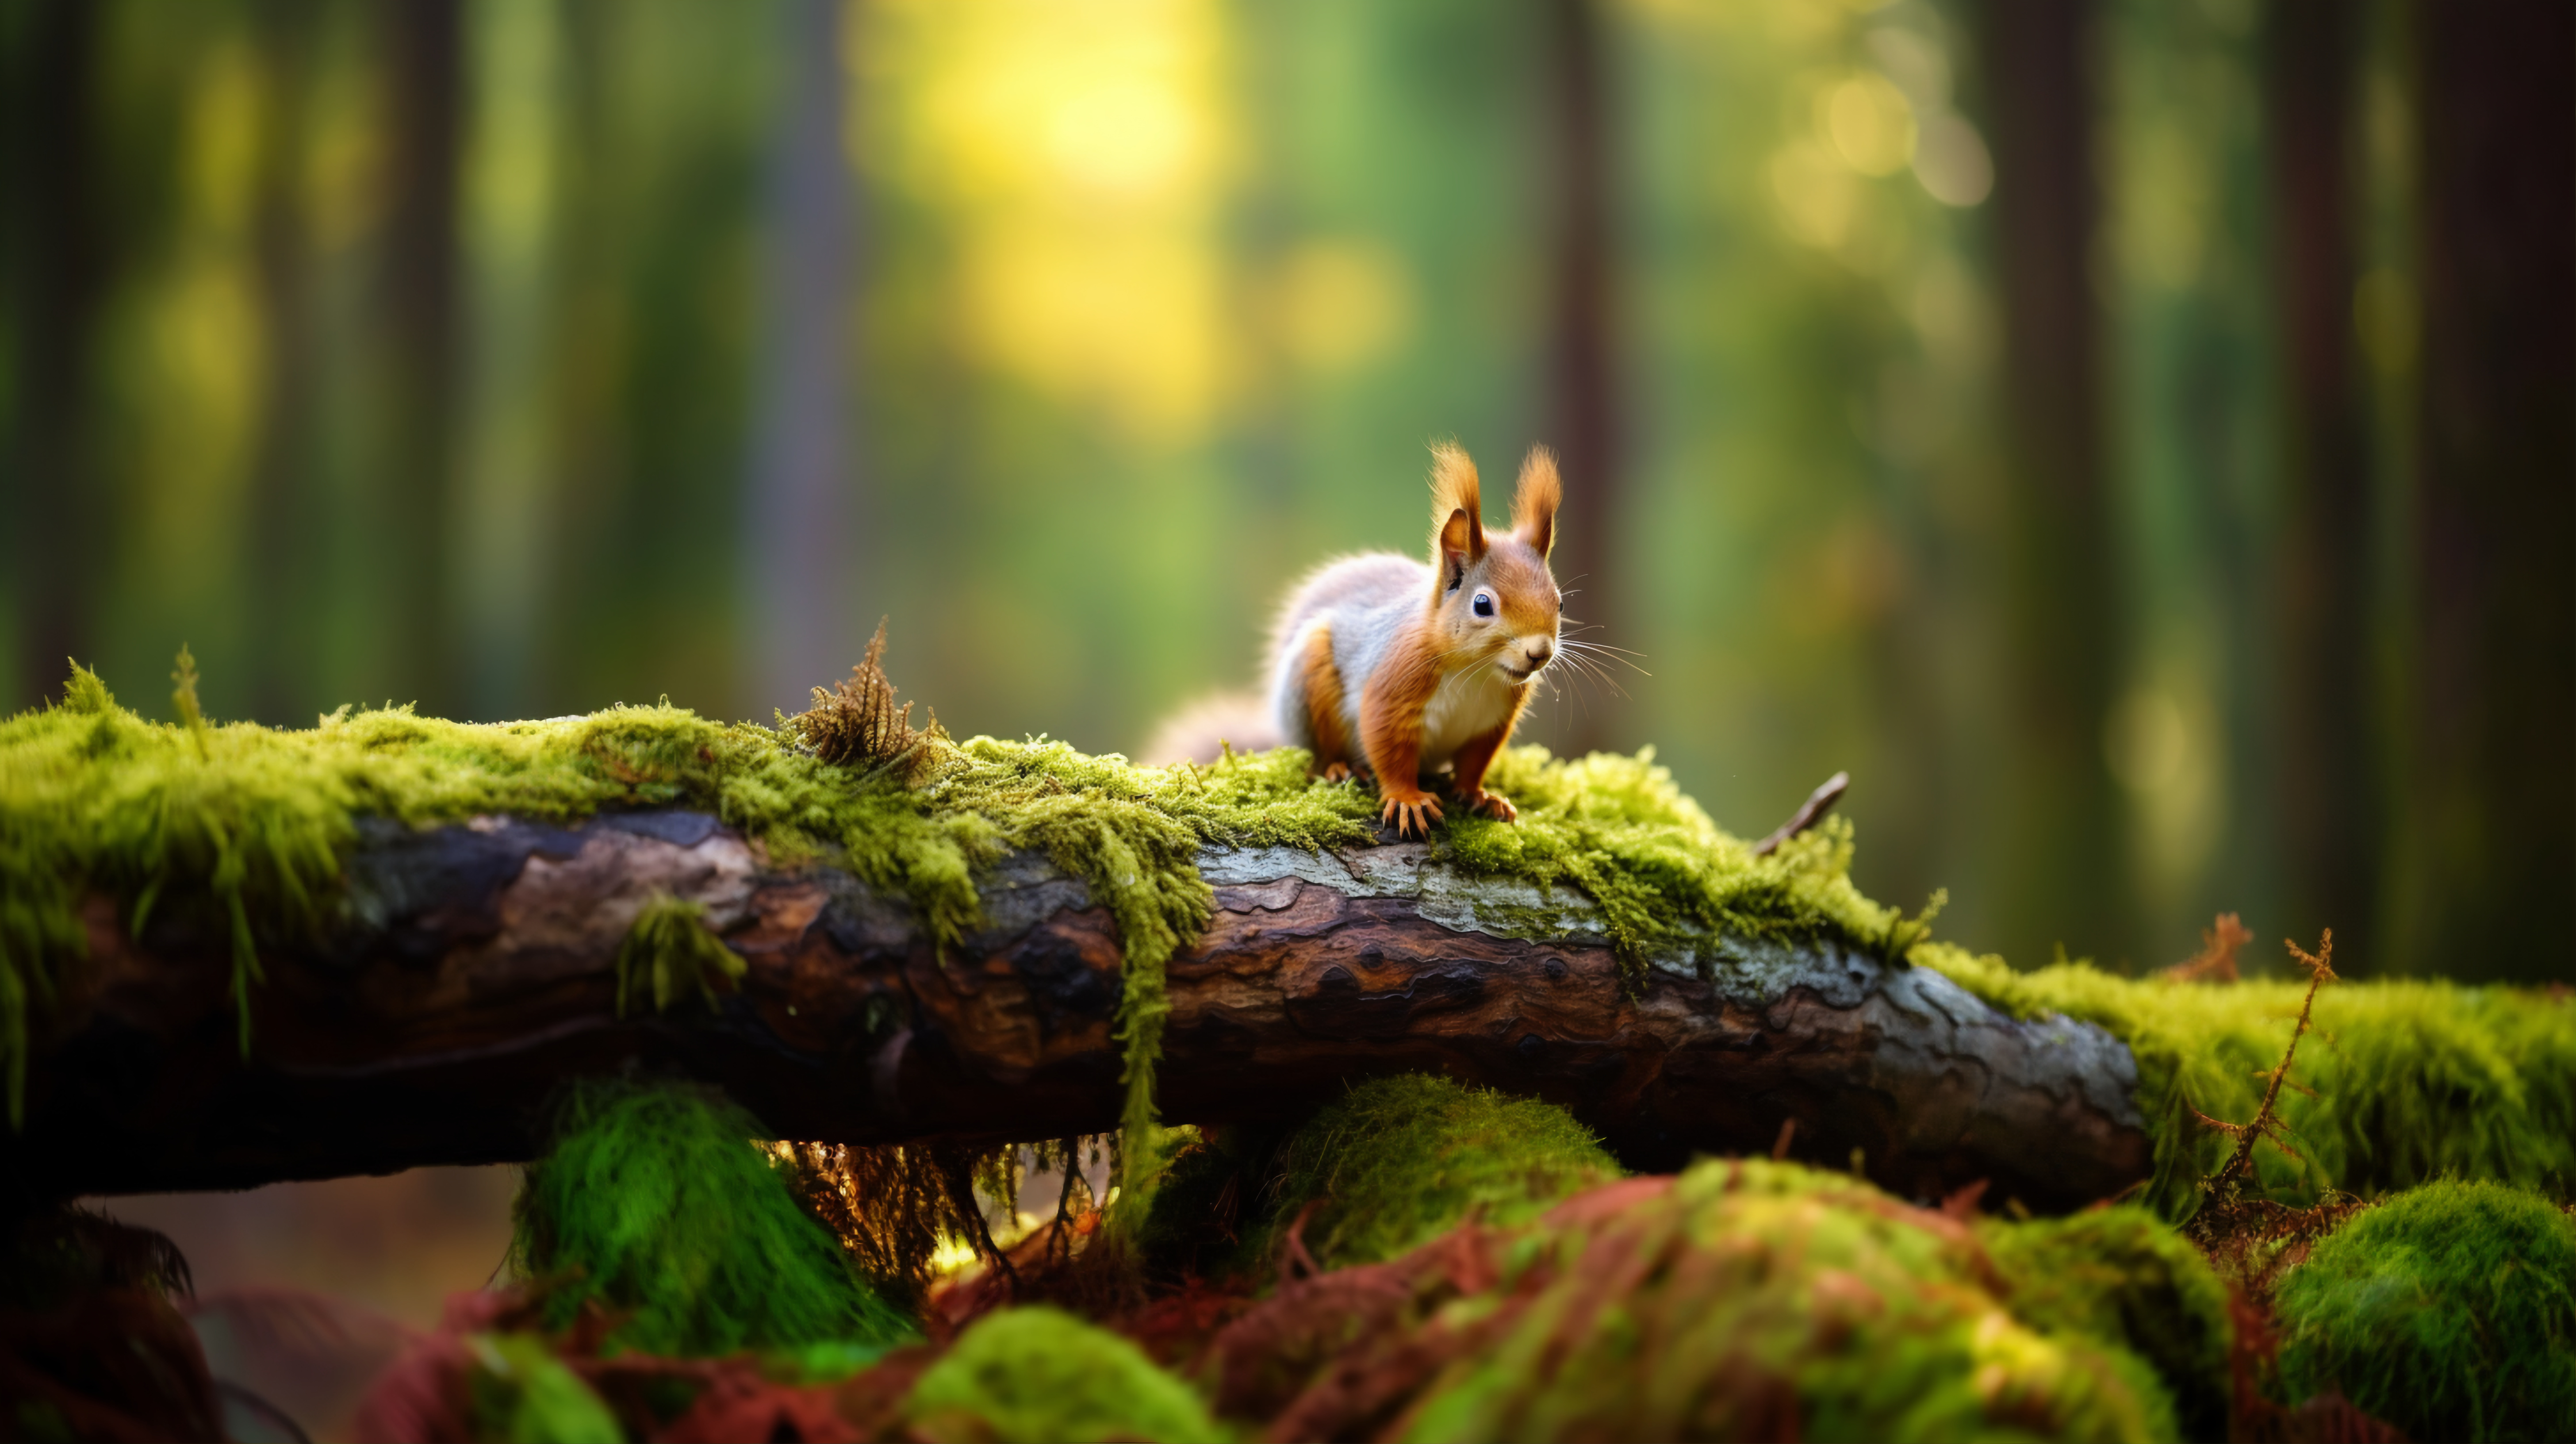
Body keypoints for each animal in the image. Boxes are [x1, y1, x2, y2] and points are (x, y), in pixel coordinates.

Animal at [1211, 442, 1564, 838]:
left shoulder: (1492, 723)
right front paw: (1408, 799)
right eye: (1483, 604)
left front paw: (1480, 795)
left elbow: (1475, 763)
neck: (1477, 673)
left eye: (1560, 602)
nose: (1540, 653)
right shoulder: (1398, 678)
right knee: (1317, 756)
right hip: (1308, 686)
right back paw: (1338, 767)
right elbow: (1387, 742)